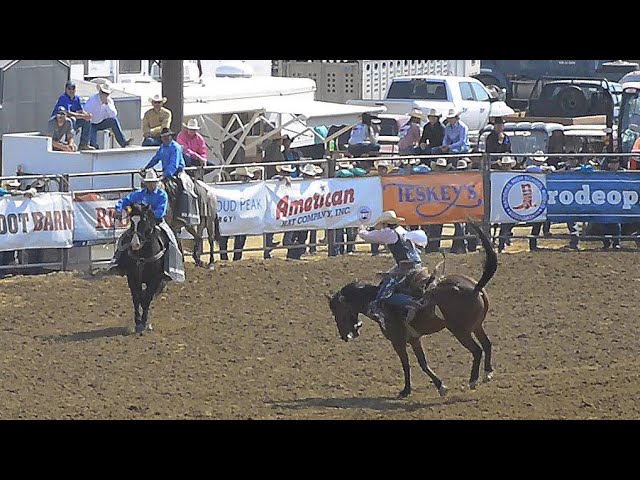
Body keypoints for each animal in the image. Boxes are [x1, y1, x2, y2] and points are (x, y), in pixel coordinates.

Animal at [118, 202, 166, 334]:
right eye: (131, 221)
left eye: (144, 220)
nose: (135, 244)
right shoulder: (132, 277)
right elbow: (136, 298)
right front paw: (138, 322)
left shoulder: (155, 279)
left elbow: (147, 299)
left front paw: (144, 323)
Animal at [330, 223, 500, 400]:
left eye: (337, 312)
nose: (344, 336)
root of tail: (475, 287)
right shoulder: (414, 339)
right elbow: (422, 363)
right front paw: (440, 386)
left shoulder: (398, 341)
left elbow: (406, 364)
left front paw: (405, 390)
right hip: (476, 326)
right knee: (487, 344)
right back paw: (487, 373)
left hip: (460, 330)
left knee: (477, 350)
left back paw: (473, 380)